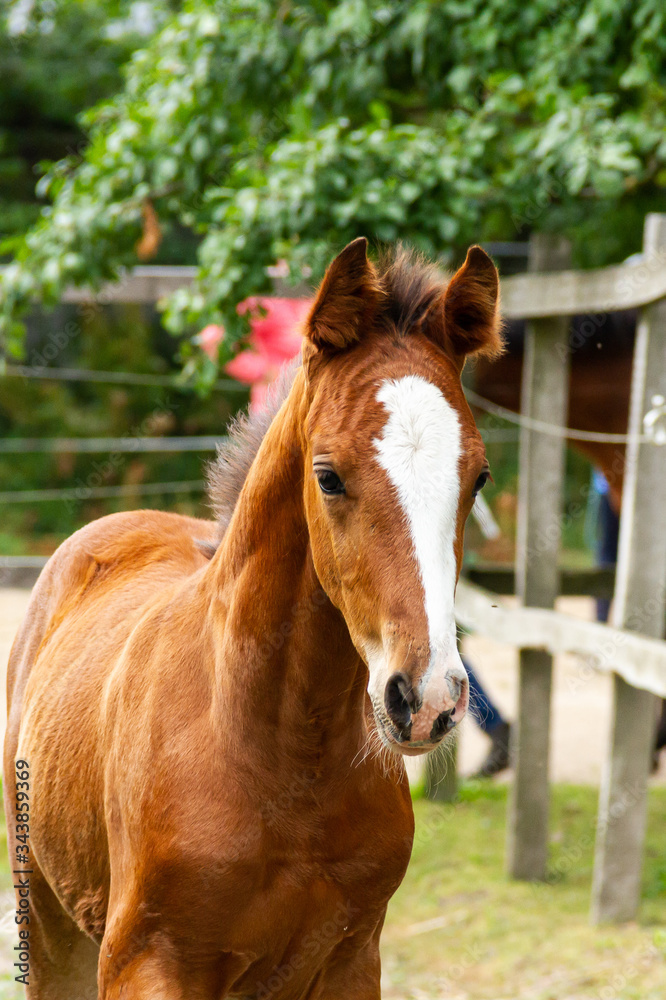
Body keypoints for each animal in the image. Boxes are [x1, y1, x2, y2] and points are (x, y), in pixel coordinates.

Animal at [5, 238, 500, 996]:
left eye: (477, 477)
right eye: (328, 476)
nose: (427, 700)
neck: (283, 758)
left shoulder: (353, 959)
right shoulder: (143, 960)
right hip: (50, 927)